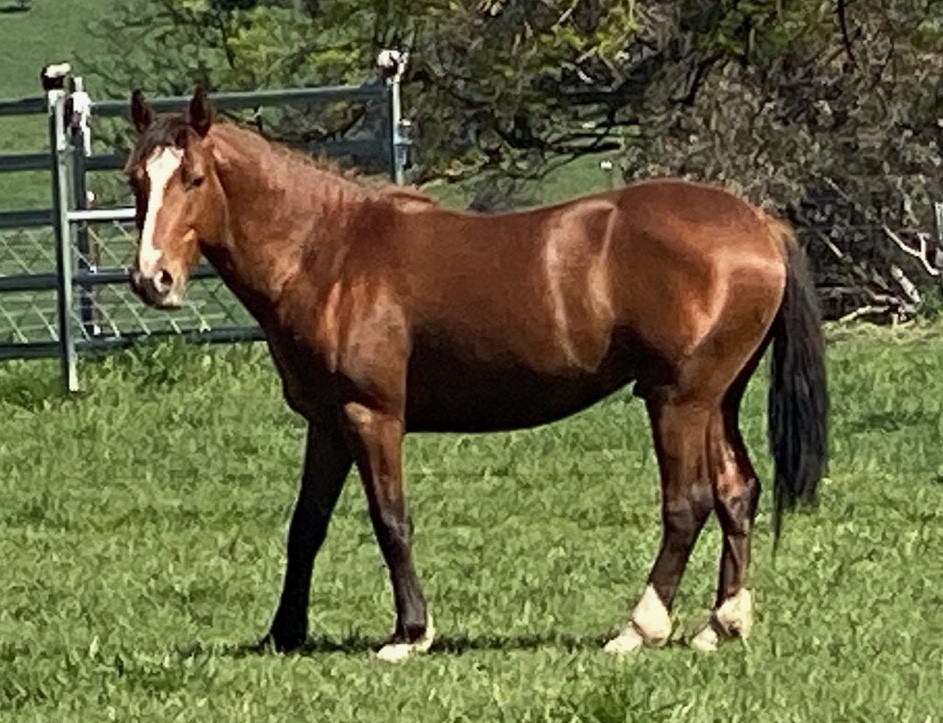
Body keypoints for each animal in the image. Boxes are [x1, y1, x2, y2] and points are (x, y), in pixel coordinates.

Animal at [124, 87, 828, 661]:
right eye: (136, 180)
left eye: (192, 178)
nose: (151, 279)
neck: (329, 251)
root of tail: (758, 223)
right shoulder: (326, 425)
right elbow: (307, 526)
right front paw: (283, 633)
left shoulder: (371, 417)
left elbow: (391, 520)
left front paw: (410, 633)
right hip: (716, 398)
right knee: (737, 492)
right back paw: (722, 624)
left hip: (677, 400)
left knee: (688, 505)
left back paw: (639, 628)